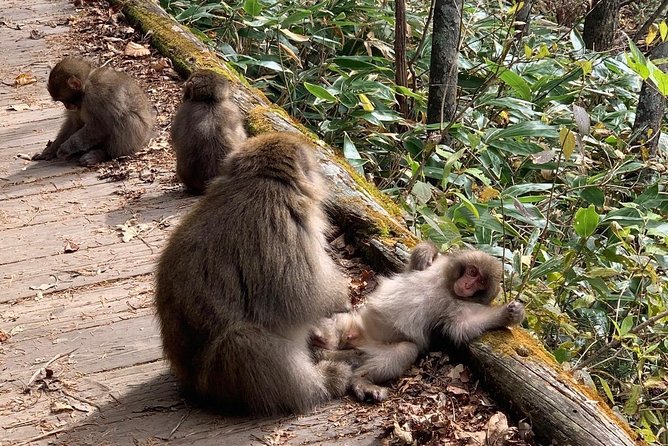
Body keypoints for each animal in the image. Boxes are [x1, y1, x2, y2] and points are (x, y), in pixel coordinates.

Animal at [310, 242, 524, 402]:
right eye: (472, 272)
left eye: (480, 282)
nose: (468, 285)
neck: (448, 288)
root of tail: (355, 341)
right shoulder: (439, 267)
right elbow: (410, 268)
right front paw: (426, 251)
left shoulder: (459, 306)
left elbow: (463, 326)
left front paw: (510, 313)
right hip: (349, 321)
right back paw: (321, 334)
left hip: (372, 349)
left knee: (405, 350)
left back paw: (359, 379)